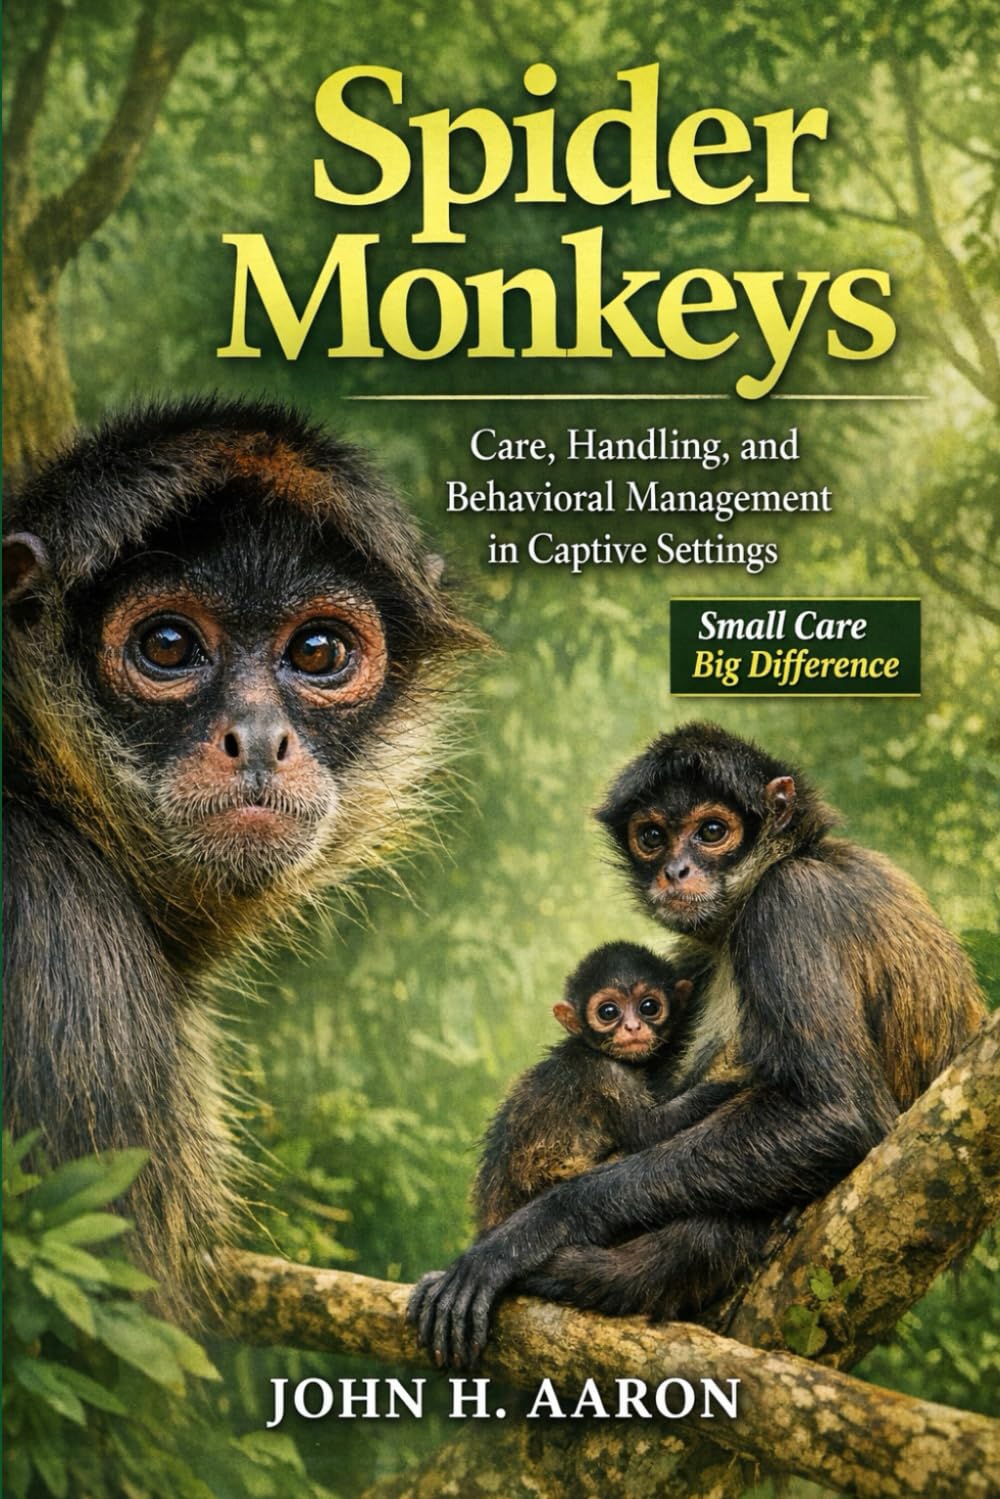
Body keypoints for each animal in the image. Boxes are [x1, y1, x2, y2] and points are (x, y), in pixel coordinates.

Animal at [473, 942, 745, 1231]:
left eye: (649, 1006)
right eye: (608, 1012)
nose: (633, 1027)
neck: (591, 1050)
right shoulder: (609, 1074)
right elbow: (650, 1130)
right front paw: (728, 1075)